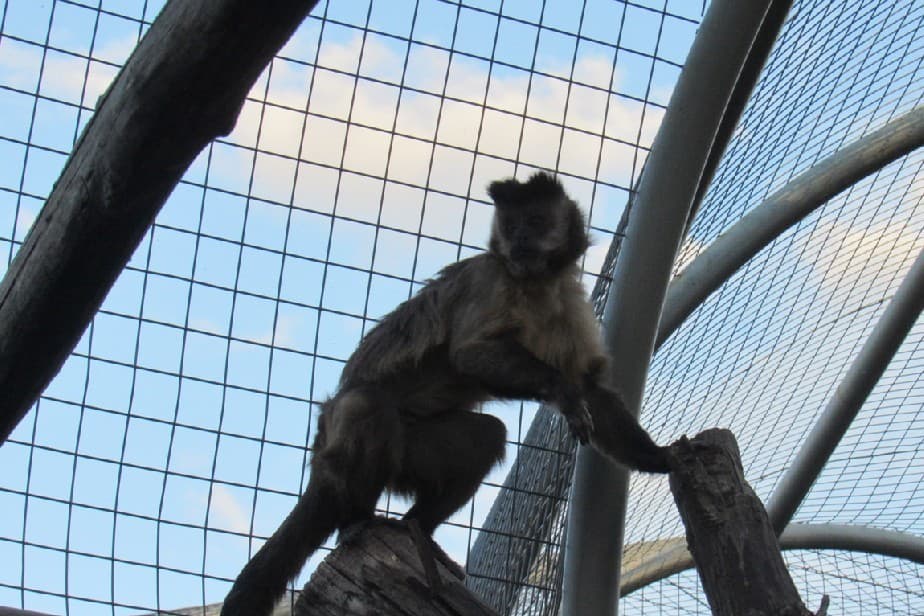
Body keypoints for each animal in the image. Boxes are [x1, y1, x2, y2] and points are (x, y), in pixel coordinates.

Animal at [220, 171, 670, 615]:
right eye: (512, 226)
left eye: (536, 221)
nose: (521, 239)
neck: (537, 282)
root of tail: (319, 452)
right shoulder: (491, 277)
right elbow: (470, 354)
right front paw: (561, 391)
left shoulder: (568, 297)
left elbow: (593, 388)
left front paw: (660, 458)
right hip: (359, 452)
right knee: (365, 405)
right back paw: (356, 520)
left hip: (411, 452)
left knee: (486, 435)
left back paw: (416, 527)